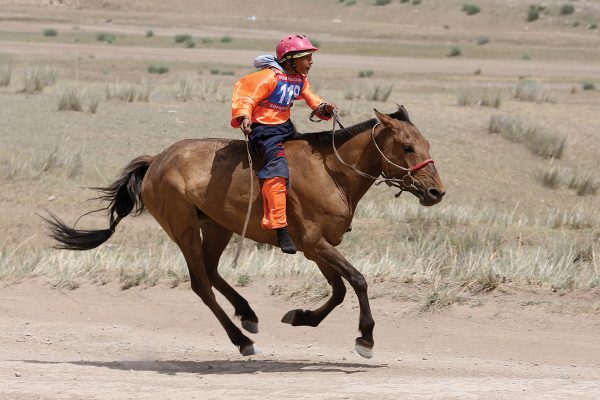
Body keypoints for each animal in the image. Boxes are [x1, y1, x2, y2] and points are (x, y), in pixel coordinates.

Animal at [43, 104, 446, 358]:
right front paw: (366, 338)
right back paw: (240, 339)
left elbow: (339, 290)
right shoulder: (315, 243)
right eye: (407, 146)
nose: (435, 192)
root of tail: (156, 159)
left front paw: (302, 317)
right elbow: (358, 281)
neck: (332, 171)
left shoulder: (318, 247)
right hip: (183, 229)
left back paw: (248, 313)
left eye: (427, 145)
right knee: (201, 284)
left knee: (211, 272)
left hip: (217, 227)